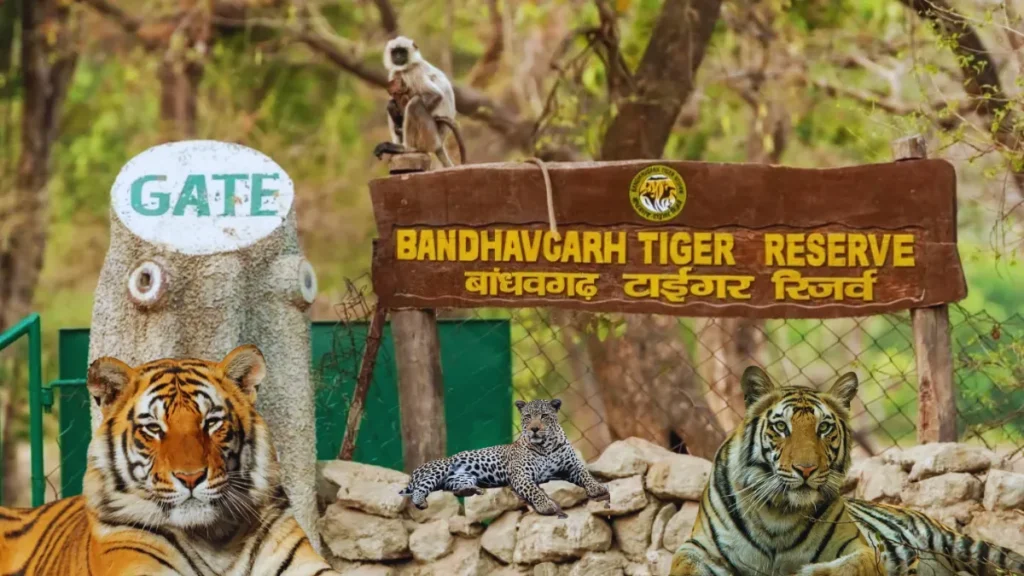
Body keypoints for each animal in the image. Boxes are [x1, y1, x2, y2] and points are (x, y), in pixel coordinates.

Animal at [670, 365, 1024, 576]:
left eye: (824, 427)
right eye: (781, 427)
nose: (806, 469)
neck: (779, 512)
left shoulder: (860, 549)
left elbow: (838, 569)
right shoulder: (698, 548)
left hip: (961, 545)